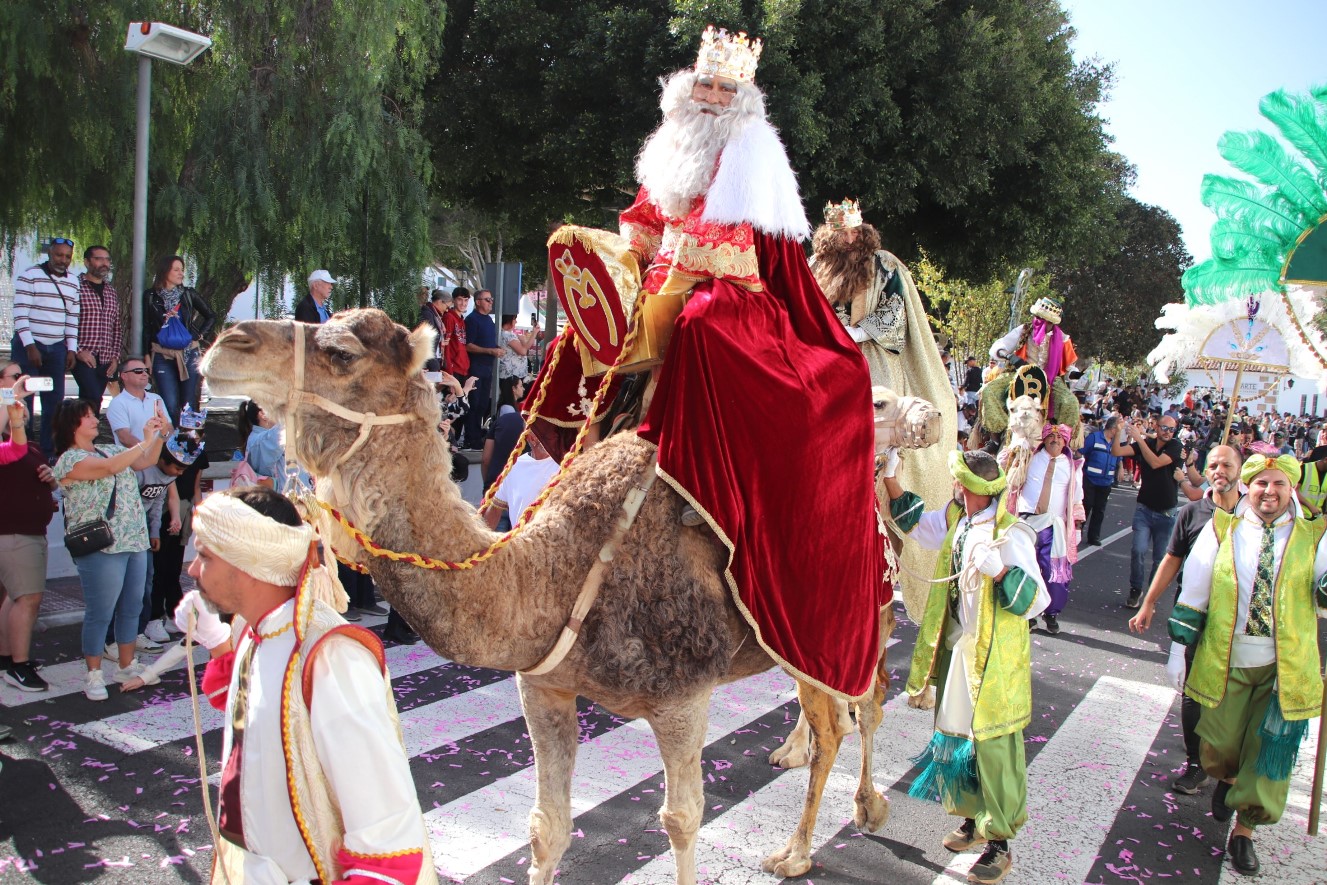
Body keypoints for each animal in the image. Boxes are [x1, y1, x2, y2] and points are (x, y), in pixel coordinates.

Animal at [199, 311, 902, 885]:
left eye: (341, 352)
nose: (225, 344)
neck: (558, 574)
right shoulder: (544, 688)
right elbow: (547, 829)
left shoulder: (682, 697)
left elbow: (680, 821)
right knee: (839, 712)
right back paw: (820, 778)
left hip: (844, 618)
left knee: (855, 711)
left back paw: (816, 838)